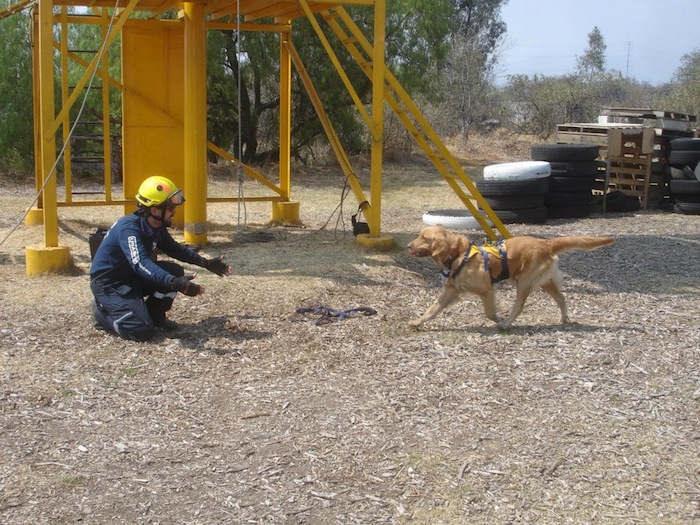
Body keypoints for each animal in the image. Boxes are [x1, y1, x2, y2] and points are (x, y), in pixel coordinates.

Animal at [408, 224, 616, 328]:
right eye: (419, 235)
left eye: (424, 238)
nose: (409, 245)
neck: (458, 254)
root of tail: (545, 243)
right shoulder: (450, 290)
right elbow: (432, 309)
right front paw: (417, 322)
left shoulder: (486, 290)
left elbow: (489, 313)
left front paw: (499, 319)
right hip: (544, 282)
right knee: (561, 298)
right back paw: (564, 318)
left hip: (524, 282)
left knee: (519, 306)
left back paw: (507, 324)